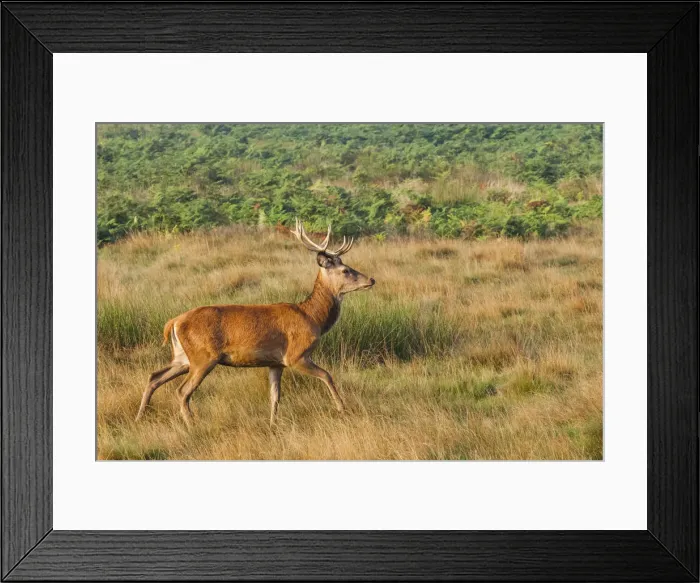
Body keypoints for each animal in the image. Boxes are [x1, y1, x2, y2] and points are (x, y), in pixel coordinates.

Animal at [135, 219, 375, 427]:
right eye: (346, 270)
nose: (371, 279)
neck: (312, 317)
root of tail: (174, 322)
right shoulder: (295, 355)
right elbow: (327, 375)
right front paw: (342, 409)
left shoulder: (275, 362)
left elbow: (275, 396)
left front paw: (273, 424)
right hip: (203, 356)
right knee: (182, 391)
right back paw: (192, 424)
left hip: (182, 357)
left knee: (154, 377)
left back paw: (140, 417)